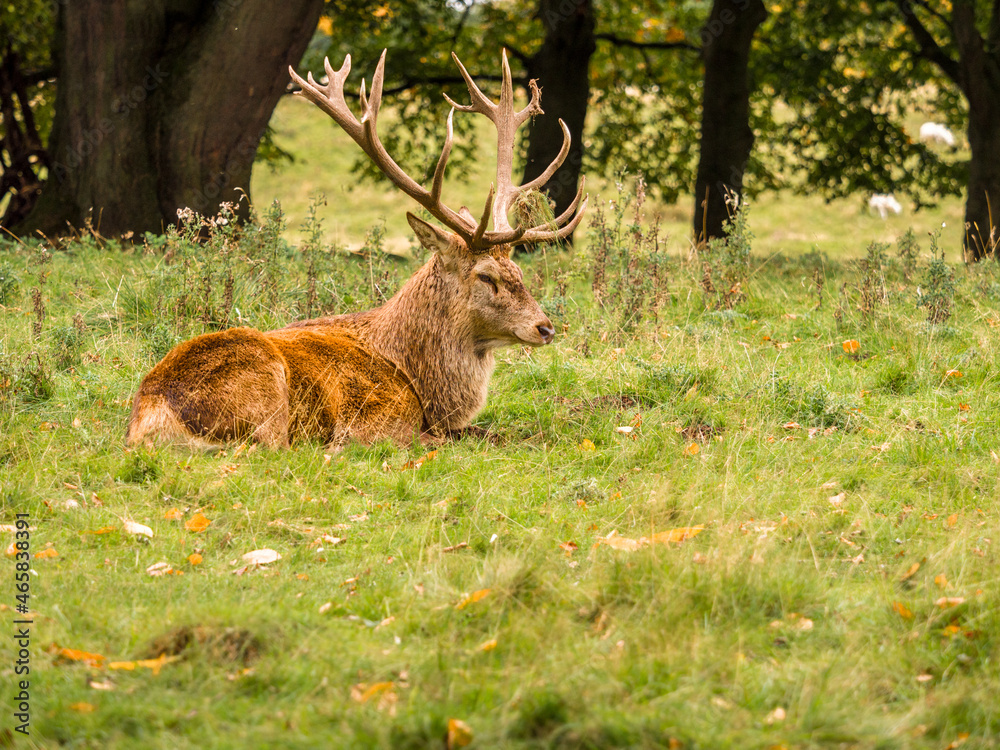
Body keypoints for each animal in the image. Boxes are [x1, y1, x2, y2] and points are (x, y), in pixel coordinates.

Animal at [126, 49, 588, 449]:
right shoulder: (377, 421)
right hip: (266, 389)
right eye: (485, 277)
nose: (546, 327)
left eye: (519, 274)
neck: (421, 384)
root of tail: (150, 416)